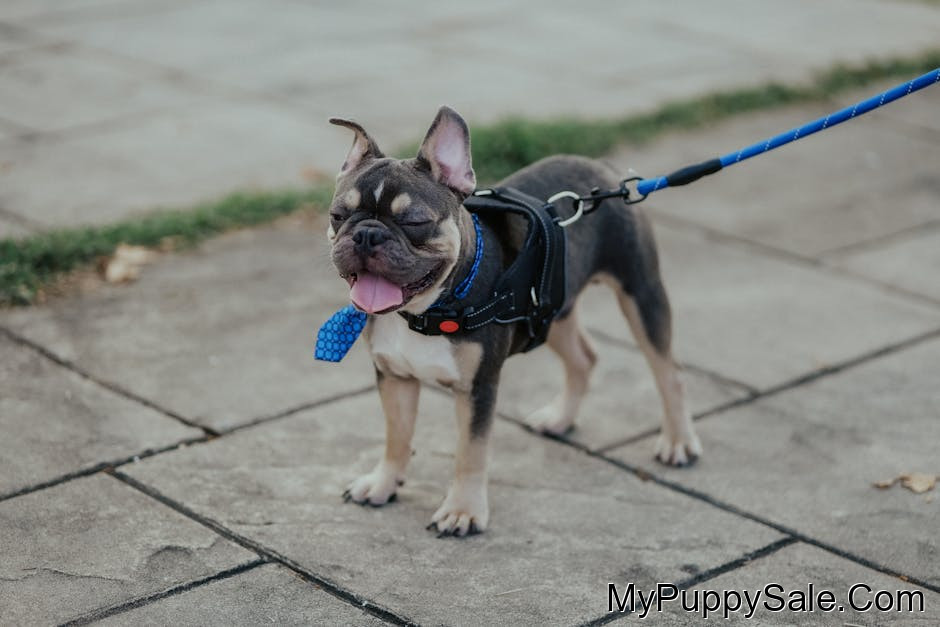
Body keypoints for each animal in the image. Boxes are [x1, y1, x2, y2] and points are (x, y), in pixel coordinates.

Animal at [325, 106, 701, 536]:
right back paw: (560, 418)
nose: (366, 234)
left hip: (640, 291)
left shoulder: (478, 388)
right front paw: (383, 483)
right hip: (553, 309)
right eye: (338, 216)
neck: (427, 309)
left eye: (415, 222)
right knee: (584, 358)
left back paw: (678, 441)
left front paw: (463, 511)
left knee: (668, 370)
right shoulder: (395, 377)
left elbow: (470, 451)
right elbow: (397, 435)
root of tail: (604, 173)